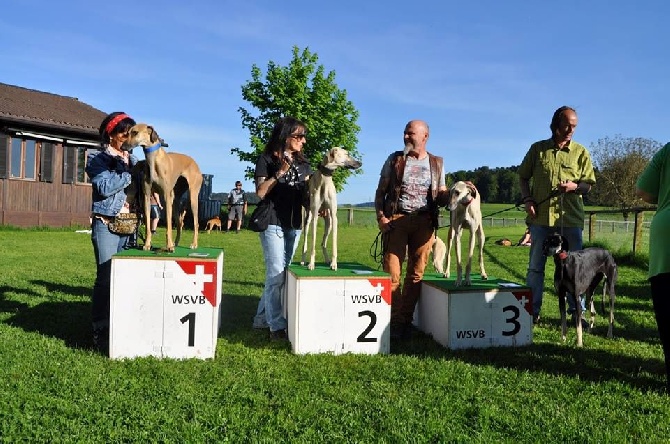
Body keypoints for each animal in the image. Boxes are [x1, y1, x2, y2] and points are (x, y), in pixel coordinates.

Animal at [122, 123, 202, 251]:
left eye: (135, 132)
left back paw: (193, 244)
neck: (153, 161)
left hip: (192, 198)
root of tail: (194, 163)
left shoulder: (166, 196)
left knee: (195, 222)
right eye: (127, 133)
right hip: (175, 200)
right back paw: (176, 243)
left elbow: (168, 225)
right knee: (179, 222)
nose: (123, 146)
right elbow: (148, 226)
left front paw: (168, 246)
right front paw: (147, 244)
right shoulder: (147, 196)